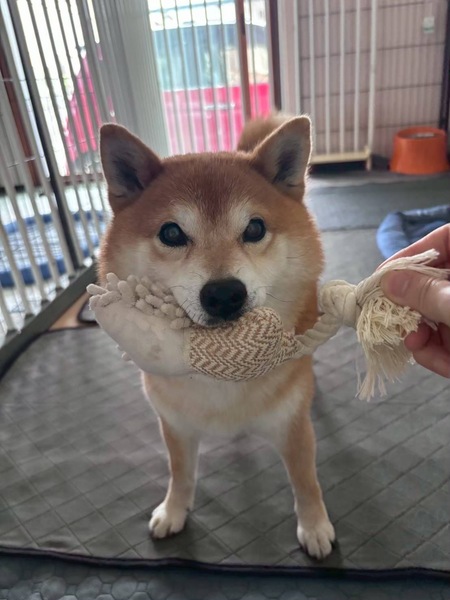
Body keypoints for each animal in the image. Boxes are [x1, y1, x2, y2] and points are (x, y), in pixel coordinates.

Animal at [98, 115, 335, 559]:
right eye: (172, 233)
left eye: (255, 228)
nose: (224, 294)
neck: (221, 367)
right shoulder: (175, 425)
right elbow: (180, 473)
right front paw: (173, 511)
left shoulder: (292, 427)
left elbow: (305, 481)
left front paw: (314, 525)